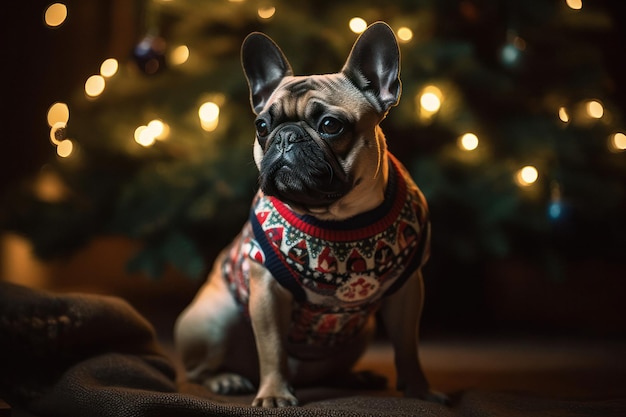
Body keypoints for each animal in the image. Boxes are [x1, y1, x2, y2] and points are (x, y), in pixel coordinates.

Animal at [173, 20, 442, 406]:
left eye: (330, 125)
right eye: (262, 126)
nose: (286, 136)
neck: (338, 218)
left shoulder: (407, 292)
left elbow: (408, 348)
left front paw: (419, 390)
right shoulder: (267, 292)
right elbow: (272, 349)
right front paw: (273, 393)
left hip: (361, 331)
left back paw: (355, 377)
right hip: (215, 320)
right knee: (197, 372)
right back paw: (227, 379)